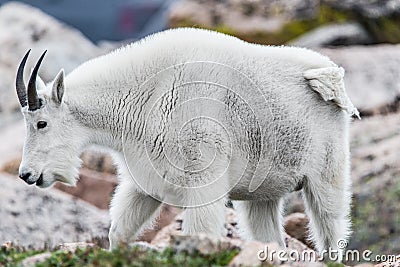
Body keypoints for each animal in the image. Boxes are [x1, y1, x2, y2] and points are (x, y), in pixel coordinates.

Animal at [16, 28, 360, 256]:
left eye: (41, 123)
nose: (27, 175)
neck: (142, 97)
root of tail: (329, 74)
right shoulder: (143, 183)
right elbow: (119, 233)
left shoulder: (203, 180)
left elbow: (198, 232)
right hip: (262, 193)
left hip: (326, 173)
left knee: (331, 229)